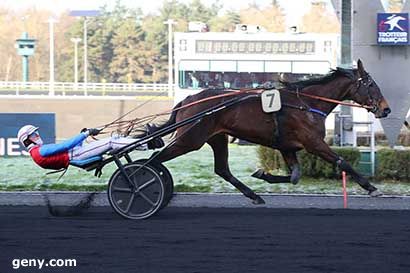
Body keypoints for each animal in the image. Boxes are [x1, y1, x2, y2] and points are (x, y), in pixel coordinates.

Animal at [151, 60, 390, 204]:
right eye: (370, 84)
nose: (386, 109)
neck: (307, 104)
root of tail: (187, 101)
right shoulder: (313, 142)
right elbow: (342, 162)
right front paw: (371, 188)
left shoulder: (287, 147)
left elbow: (294, 176)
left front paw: (263, 174)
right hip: (190, 139)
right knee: (154, 159)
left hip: (217, 138)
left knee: (222, 169)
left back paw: (254, 195)